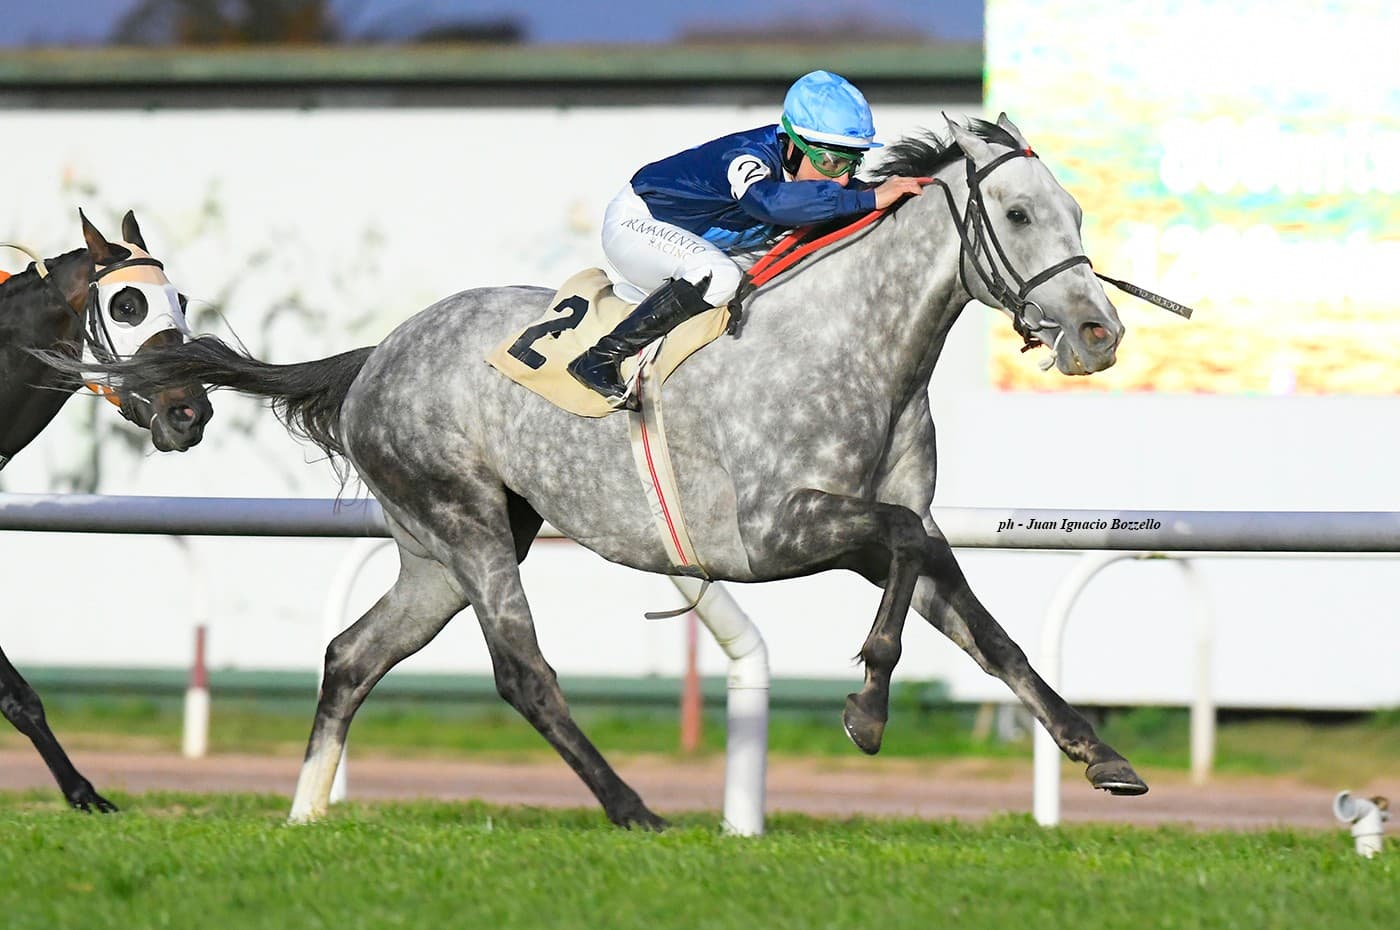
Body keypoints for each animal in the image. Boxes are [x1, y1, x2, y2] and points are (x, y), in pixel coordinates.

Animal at [67, 115, 1151, 828]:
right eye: (1017, 213)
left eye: (1073, 208)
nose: (1099, 332)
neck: (848, 347)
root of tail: (377, 355)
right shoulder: (774, 530)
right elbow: (909, 545)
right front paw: (865, 711)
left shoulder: (863, 528)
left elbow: (976, 617)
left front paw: (1099, 753)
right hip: (464, 519)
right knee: (519, 671)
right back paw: (632, 807)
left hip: (444, 546)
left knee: (352, 654)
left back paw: (306, 814)